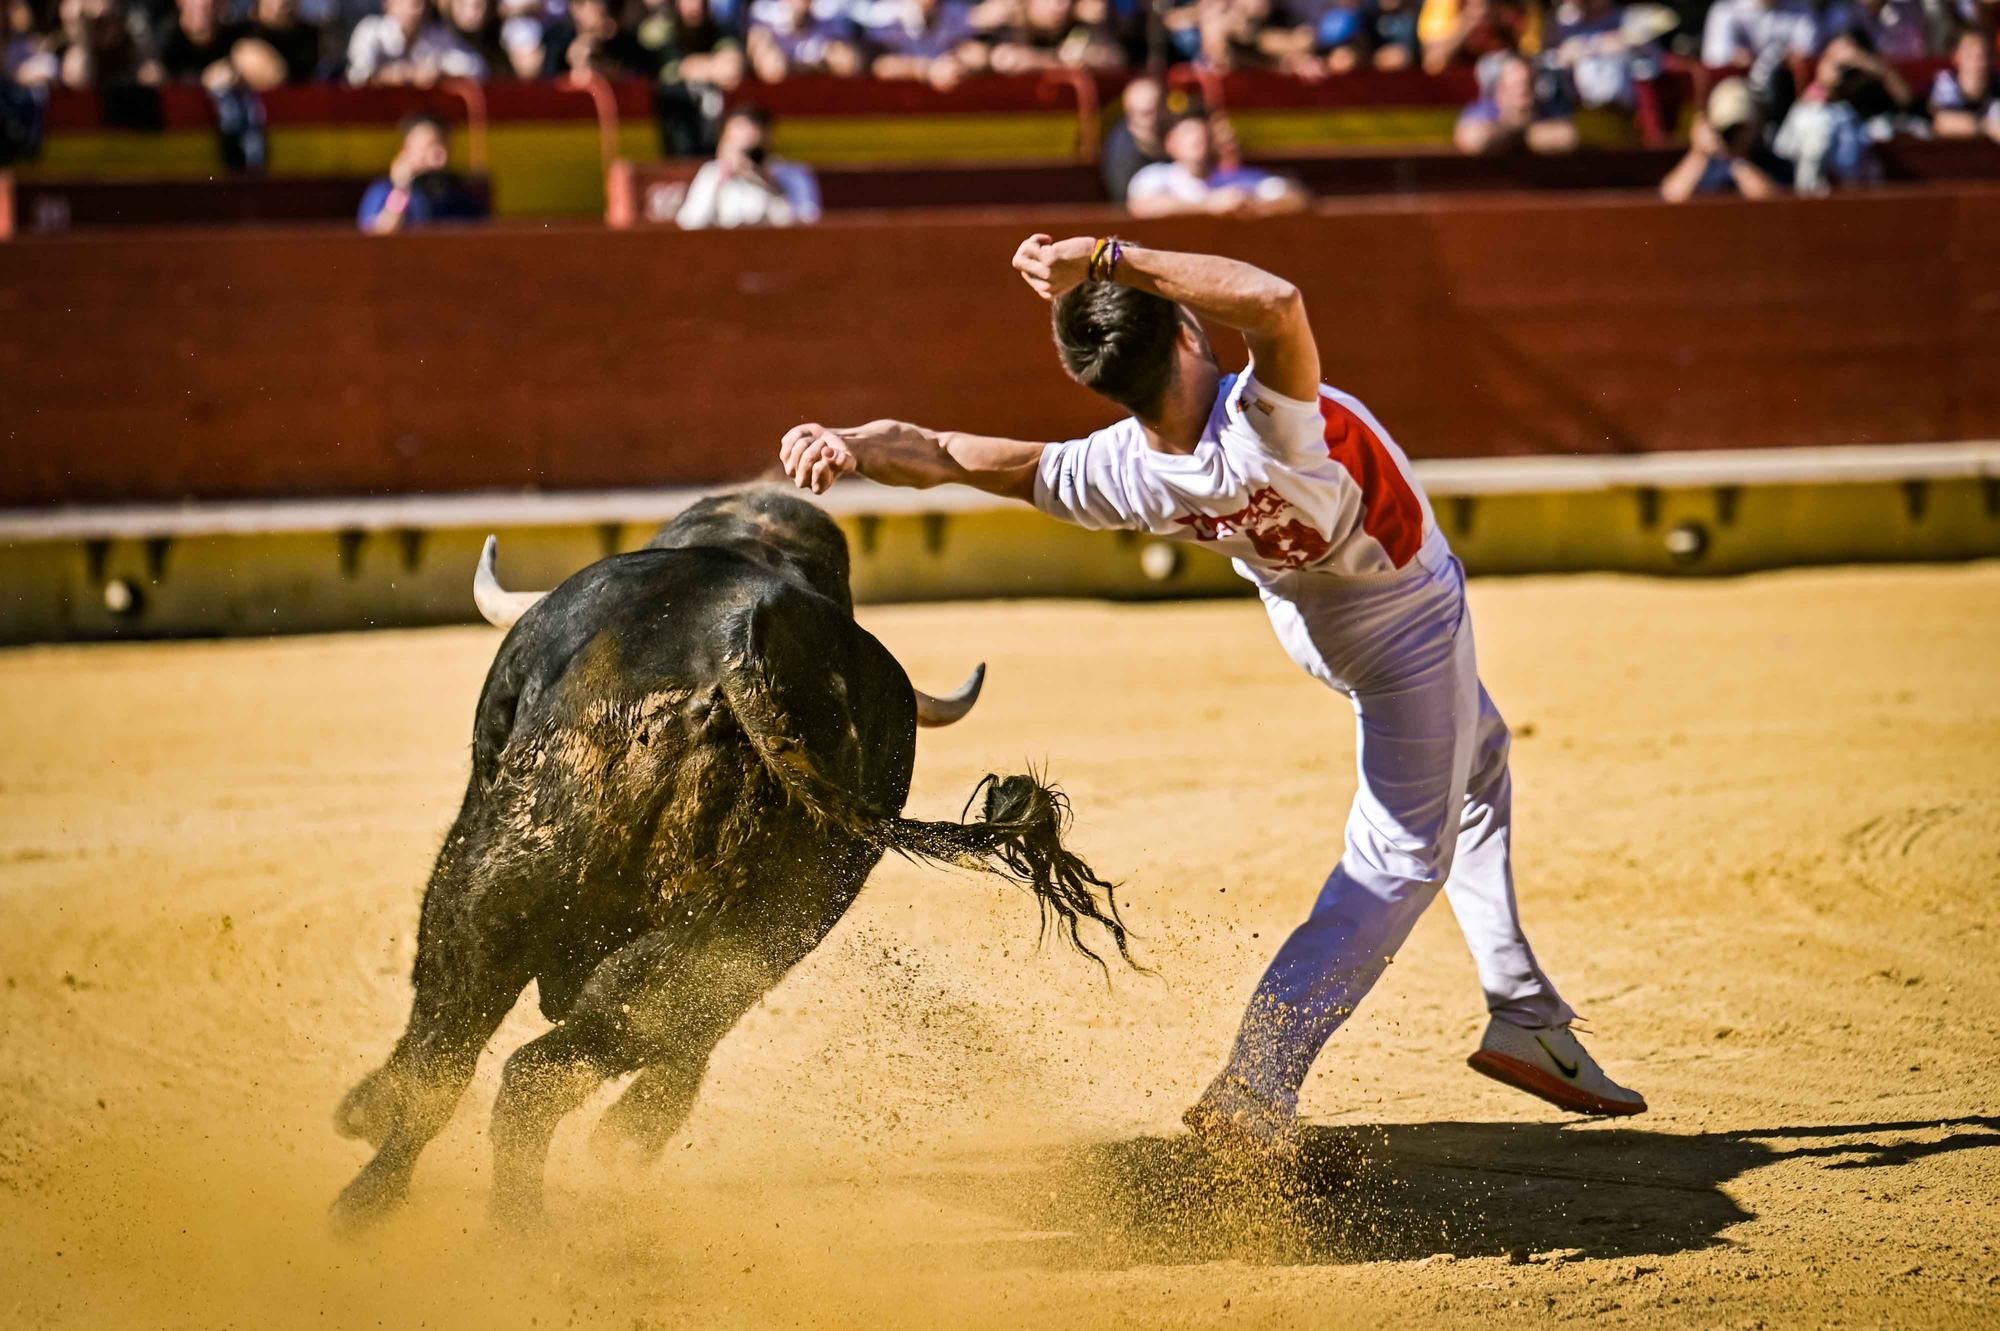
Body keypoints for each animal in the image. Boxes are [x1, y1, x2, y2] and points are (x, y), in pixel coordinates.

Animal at [336, 491, 1136, 1231]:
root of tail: (738, 644)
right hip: (721, 918)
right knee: (490, 1050)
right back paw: (393, 1200)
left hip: (534, 868)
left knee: (497, 1057)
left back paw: (488, 1219)